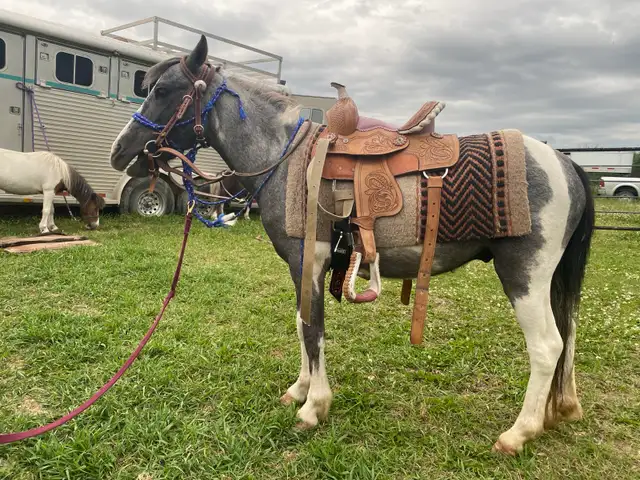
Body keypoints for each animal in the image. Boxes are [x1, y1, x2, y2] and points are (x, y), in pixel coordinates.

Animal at [109, 36, 595, 455]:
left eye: (164, 91)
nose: (120, 152)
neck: (285, 160)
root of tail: (564, 162)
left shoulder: (309, 260)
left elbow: (313, 328)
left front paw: (314, 407)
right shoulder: (303, 268)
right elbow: (301, 321)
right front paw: (300, 390)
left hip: (523, 276)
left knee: (547, 347)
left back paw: (518, 433)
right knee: (567, 335)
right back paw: (560, 409)